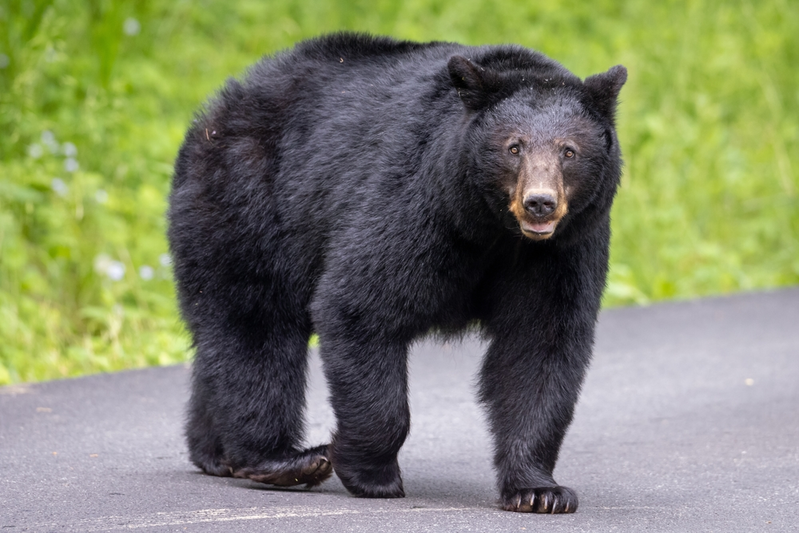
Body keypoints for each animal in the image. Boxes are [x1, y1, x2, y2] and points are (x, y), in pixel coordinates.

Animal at [169, 32, 628, 512]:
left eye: (569, 150)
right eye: (514, 147)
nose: (540, 202)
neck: (493, 231)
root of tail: (219, 108)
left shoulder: (561, 250)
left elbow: (540, 344)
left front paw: (539, 490)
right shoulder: (418, 206)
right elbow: (361, 305)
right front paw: (372, 474)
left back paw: (216, 453)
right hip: (250, 201)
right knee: (255, 325)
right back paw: (282, 459)